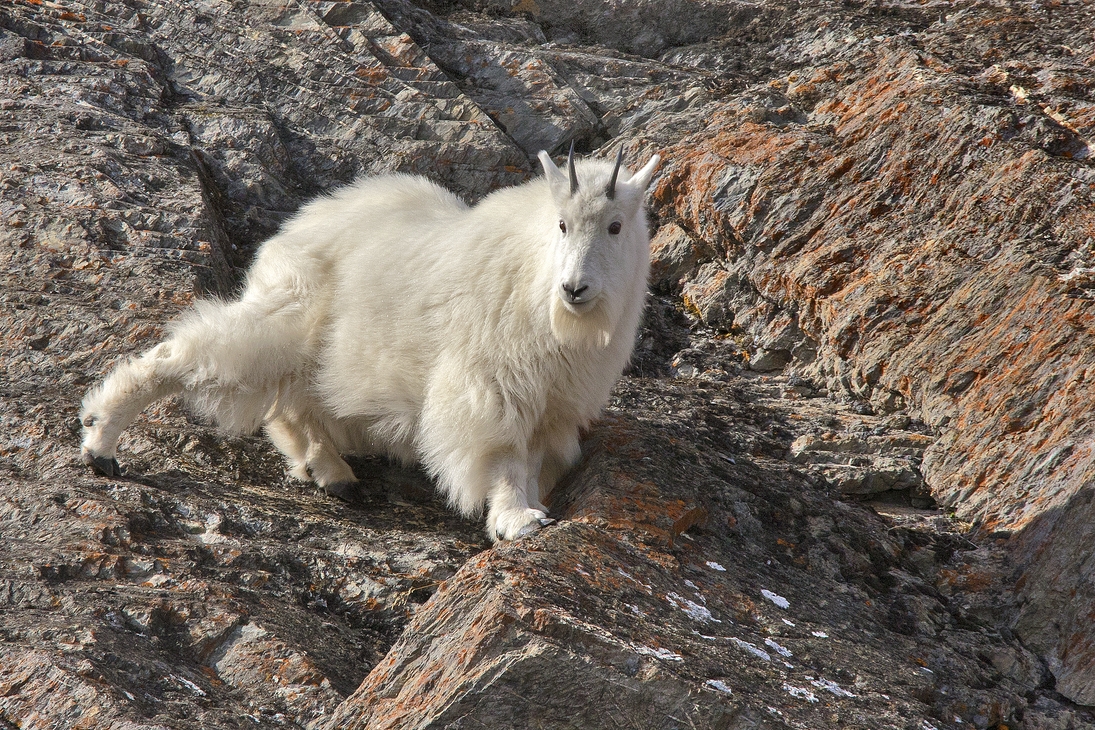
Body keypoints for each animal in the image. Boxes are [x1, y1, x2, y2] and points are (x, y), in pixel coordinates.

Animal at [79, 145, 657, 540]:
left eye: (615, 225)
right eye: (561, 224)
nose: (575, 288)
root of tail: (300, 222)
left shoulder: (554, 405)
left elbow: (533, 462)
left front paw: (530, 510)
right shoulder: (491, 385)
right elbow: (503, 456)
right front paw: (518, 520)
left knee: (293, 403)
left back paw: (331, 472)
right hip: (287, 315)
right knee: (194, 355)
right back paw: (100, 439)